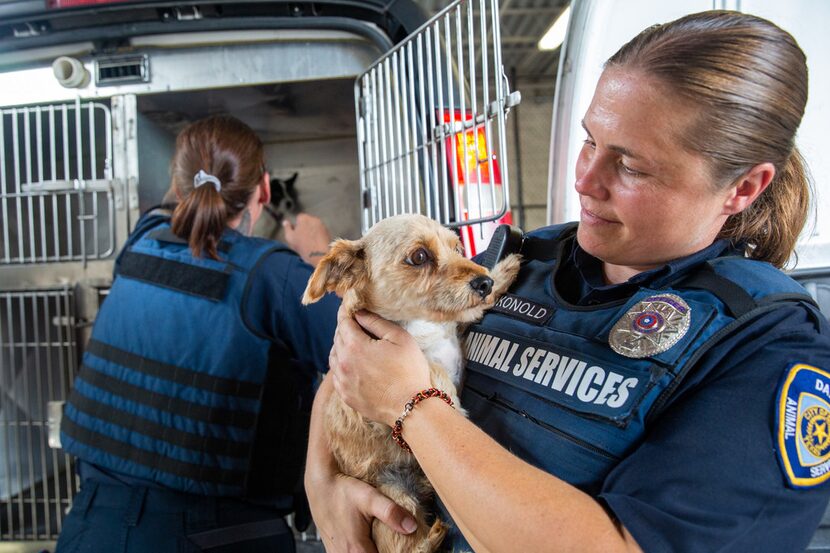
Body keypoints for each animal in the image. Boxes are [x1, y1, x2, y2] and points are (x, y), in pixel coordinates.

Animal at [302, 213, 520, 552]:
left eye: (457, 248)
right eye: (419, 257)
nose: (484, 282)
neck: (421, 327)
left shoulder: (453, 328)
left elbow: (462, 317)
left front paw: (503, 271)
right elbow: (438, 376)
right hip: (395, 498)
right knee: (405, 543)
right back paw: (432, 535)